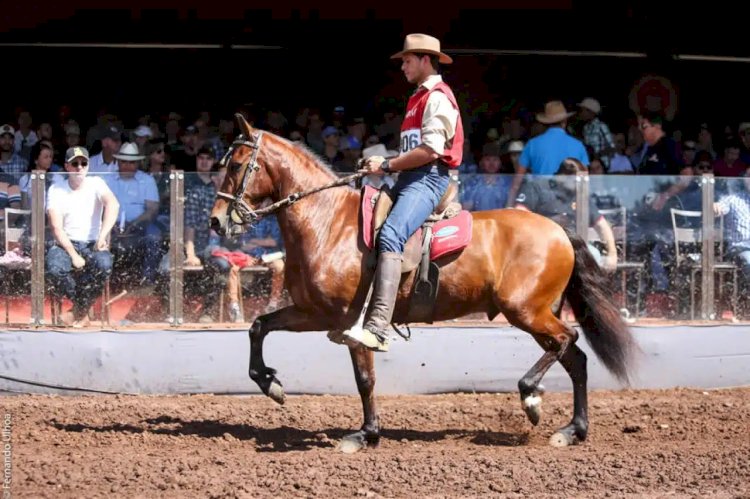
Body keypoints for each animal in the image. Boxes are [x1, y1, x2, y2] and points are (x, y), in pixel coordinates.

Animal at [210, 113, 638, 452]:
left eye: (238, 165)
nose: (216, 221)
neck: (327, 222)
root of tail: (559, 230)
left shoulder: (352, 323)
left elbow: (364, 378)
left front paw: (365, 434)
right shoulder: (314, 313)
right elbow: (258, 326)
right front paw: (270, 383)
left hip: (527, 311)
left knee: (569, 340)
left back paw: (531, 397)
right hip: (537, 313)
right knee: (576, 359)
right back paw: (572, 430)